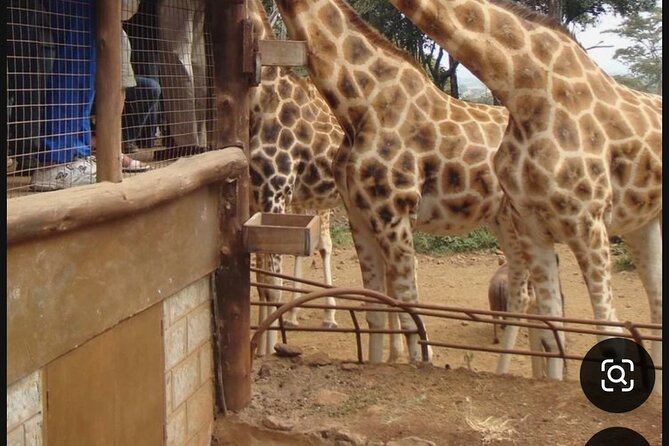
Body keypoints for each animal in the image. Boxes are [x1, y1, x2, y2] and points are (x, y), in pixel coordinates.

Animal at [274, 0, 533, 364]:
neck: (359, 106)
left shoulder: (395, 216)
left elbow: (412, 315)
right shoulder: (360, 217)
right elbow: (376, 310)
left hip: (523, 218)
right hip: (503, 219)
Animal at [389, 0, 662, 389]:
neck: (523, 90)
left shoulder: (588, 225)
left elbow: (606, 327)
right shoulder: (533, 227)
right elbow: (553, 331)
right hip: (642, 221)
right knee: (656, 302)